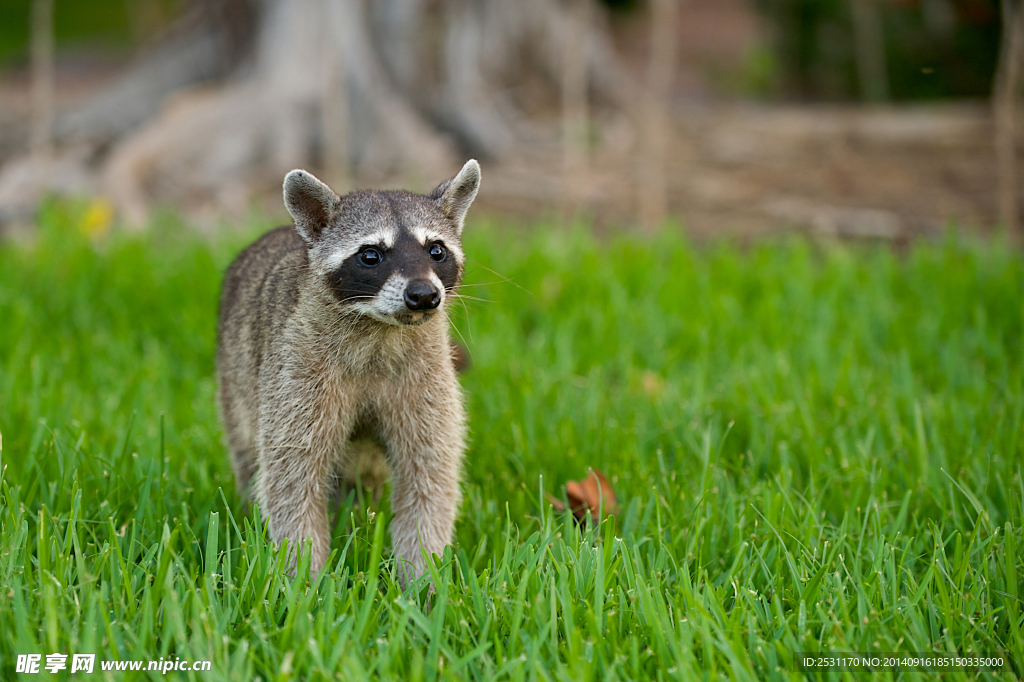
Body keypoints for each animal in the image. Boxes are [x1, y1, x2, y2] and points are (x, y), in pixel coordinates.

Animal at [216, 159, 479, 577]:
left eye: (436, 250)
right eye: (371, 255)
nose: (424, 295)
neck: (381, 330)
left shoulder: (428, 377)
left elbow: (429, 474)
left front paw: (422, 573)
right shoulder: (296, 374)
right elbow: (291, 478)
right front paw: (302, 574)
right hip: (237, 377)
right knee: (247, 450)